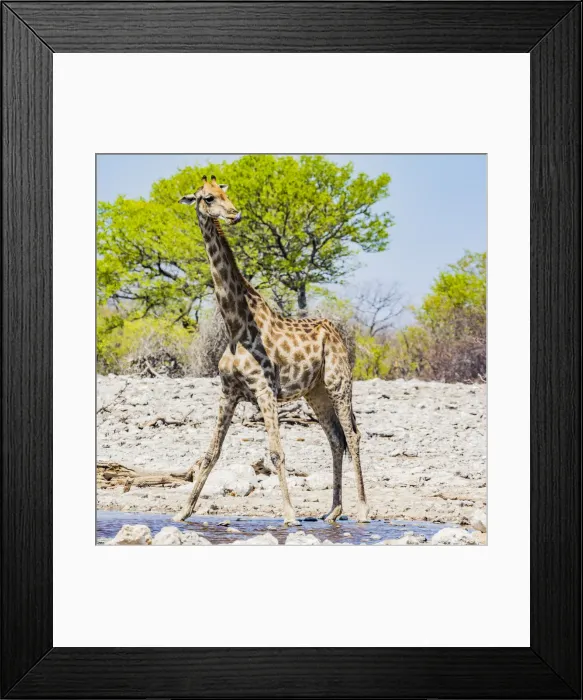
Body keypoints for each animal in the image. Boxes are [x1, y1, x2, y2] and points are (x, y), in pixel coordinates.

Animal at [173, 175, 369, 526]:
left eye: (226, 193)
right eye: (208, 198)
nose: (235, 214)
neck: (235, 326)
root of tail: (336, 332)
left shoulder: (265, 389)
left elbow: (277, 452)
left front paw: (290, 515)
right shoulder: (228, 391)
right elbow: (211, 453)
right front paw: (182, 511)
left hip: (339, 382)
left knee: (353, 436)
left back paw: (362, 510)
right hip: (316, 392)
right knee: (335, 438)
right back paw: (332, 510)